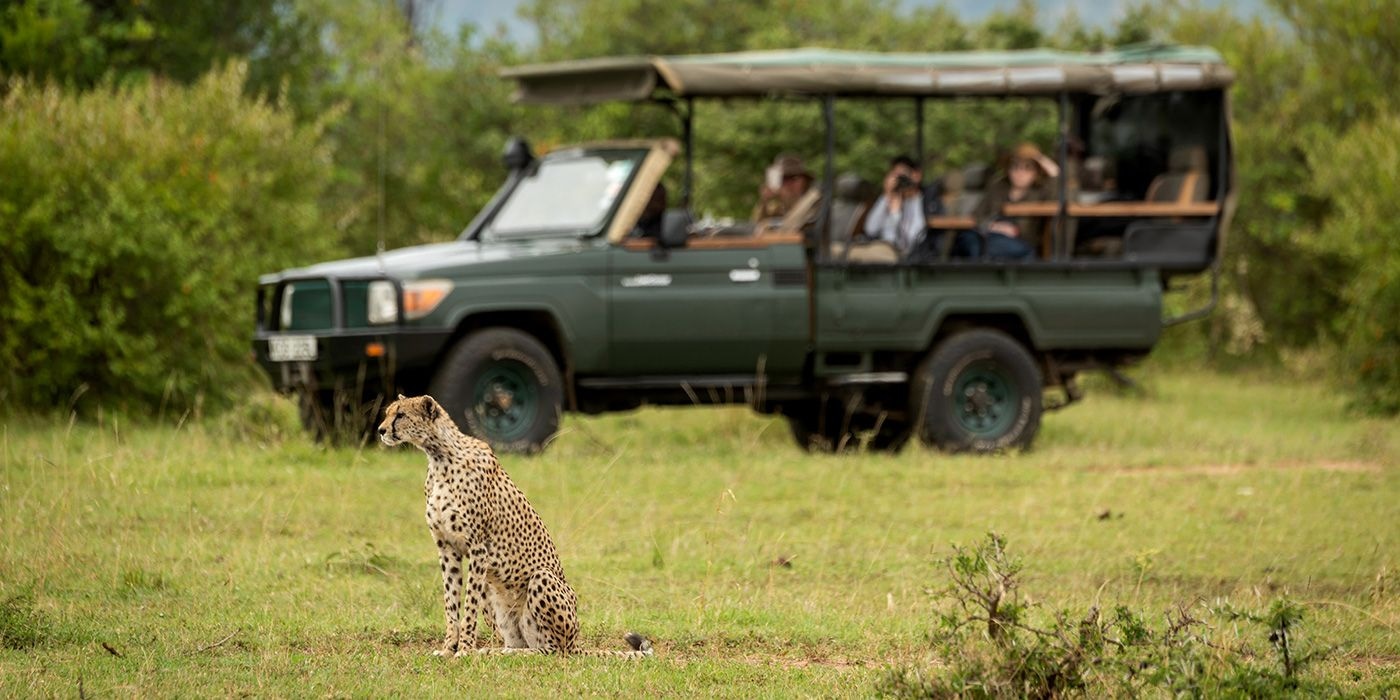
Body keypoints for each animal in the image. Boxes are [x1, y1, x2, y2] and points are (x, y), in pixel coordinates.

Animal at [378, 394, 652, 659]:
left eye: (400, 415)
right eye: (388, 412)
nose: (380, 430)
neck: (439, 455)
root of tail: (576, 643)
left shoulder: (478, 548)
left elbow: (468, 605)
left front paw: (464, 649)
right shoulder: (447, 548)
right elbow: (451, 602)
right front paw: (448, 648)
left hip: (541, 581)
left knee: (551, 651)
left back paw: (500, 653)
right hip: (495, 596)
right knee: (520, 642)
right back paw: (495, 651)